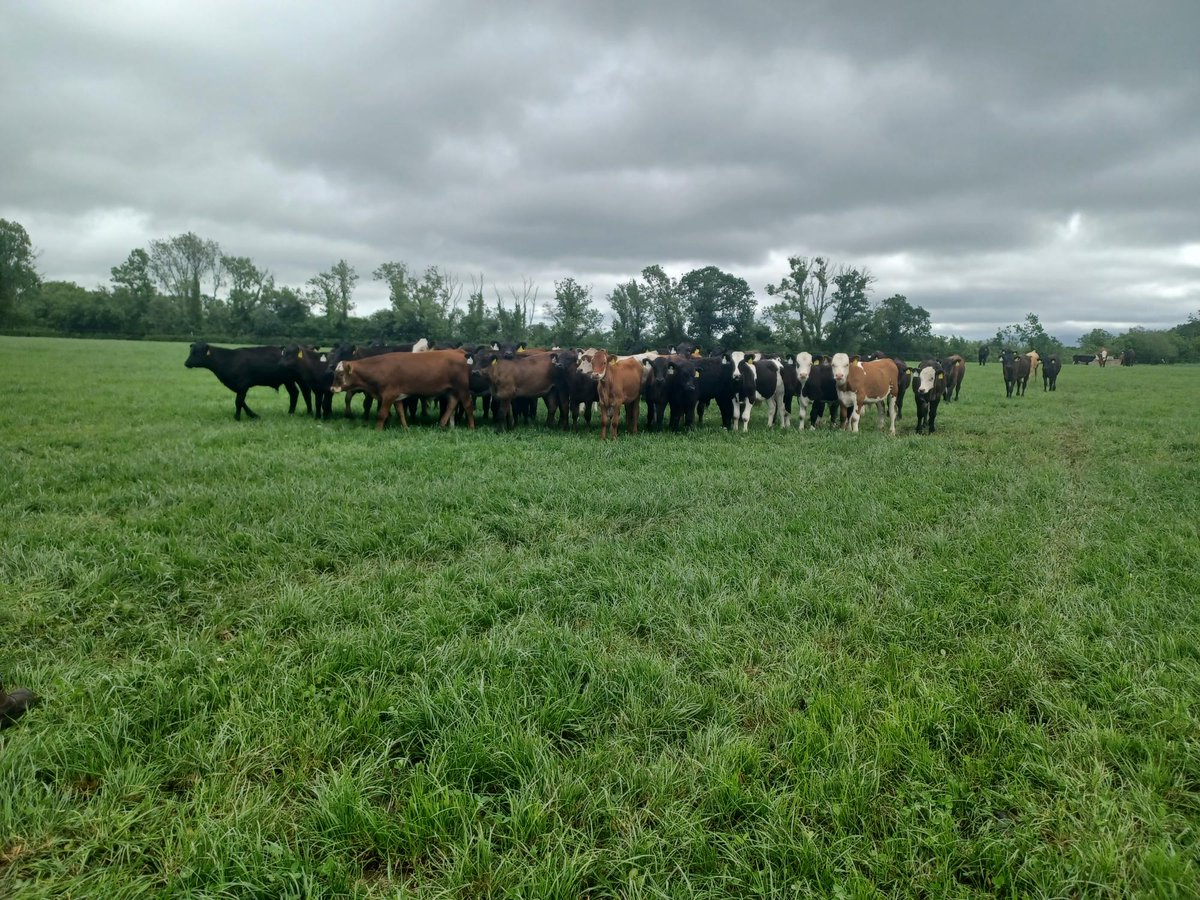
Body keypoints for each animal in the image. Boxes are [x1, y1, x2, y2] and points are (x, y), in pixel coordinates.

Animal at [329, 349, 473, 431]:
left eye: (340, 374)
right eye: (334, 373)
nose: (332, 388)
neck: (380, 368)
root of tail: (459, 353)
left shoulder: (388, 395)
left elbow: (382, 414)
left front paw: (377, 430)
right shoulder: (396, 397)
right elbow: (401, 413)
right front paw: (405, 428)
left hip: (462, 389)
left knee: (468, 406)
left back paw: (471, 427)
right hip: (453, 391)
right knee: (451, 405)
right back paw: (442, 424)